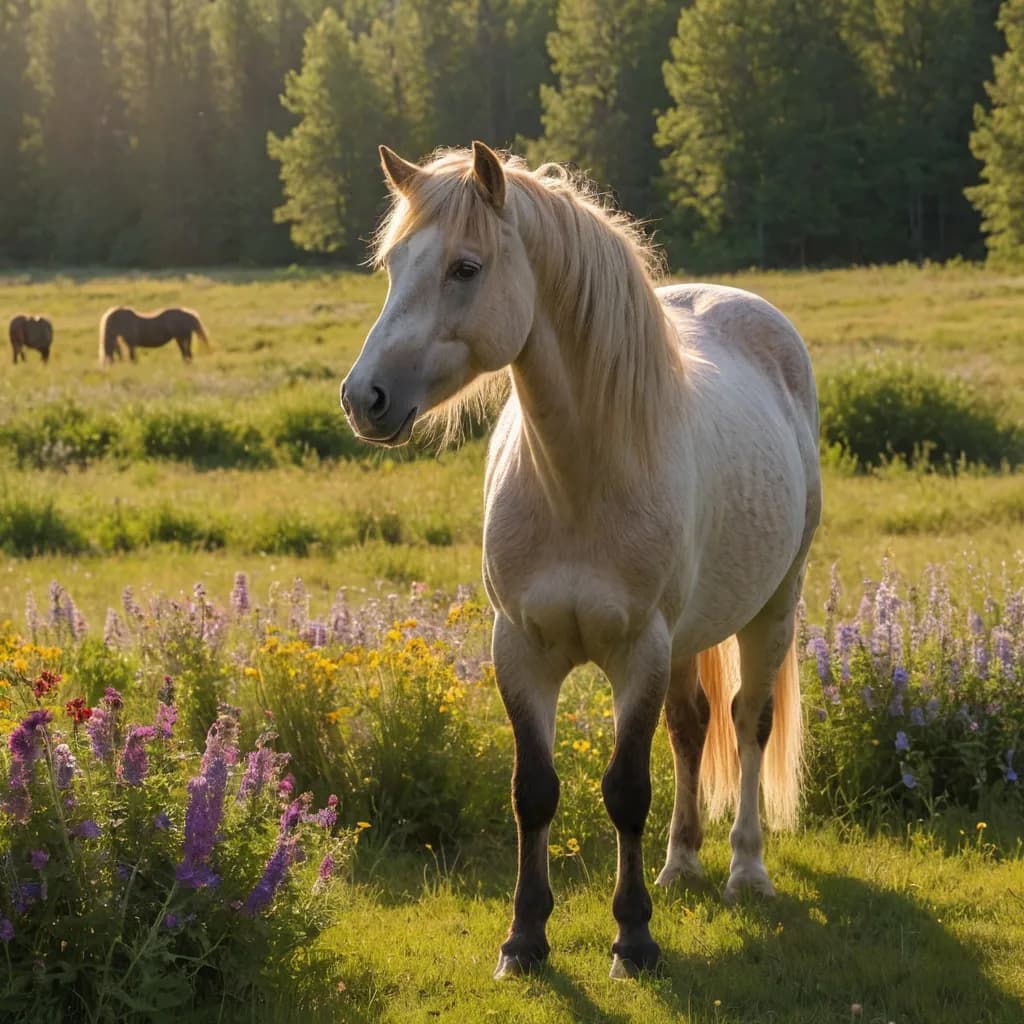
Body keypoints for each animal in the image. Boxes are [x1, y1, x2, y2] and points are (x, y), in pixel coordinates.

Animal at [341, 143, 821, 980]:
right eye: (394, 264)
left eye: (466, 267)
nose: (363, 398)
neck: (577, 482)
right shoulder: (520, 648)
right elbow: (533, 790)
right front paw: (524, 937)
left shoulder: (640, 649)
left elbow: (626, 789)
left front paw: (634, 938)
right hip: (692, 636)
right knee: (693, 727)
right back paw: (680, 864)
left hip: (771, 609)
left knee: (748, 723)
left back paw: (744, 870)